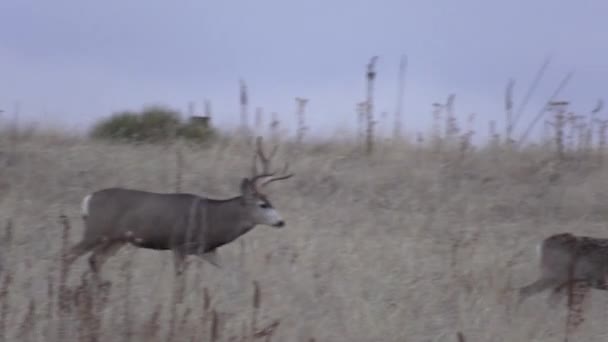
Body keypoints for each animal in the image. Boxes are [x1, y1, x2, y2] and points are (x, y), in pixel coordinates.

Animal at [63, 135, 294, 282]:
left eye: (271, 202)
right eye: (263, 204)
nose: (281, 222)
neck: (212, 217)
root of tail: (88, 199)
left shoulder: (207, 250)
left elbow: (231, 273)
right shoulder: (179, 245)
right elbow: (179, 279)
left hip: (116, 239)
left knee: (95, 259)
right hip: (96, 230)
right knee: (69, 254)